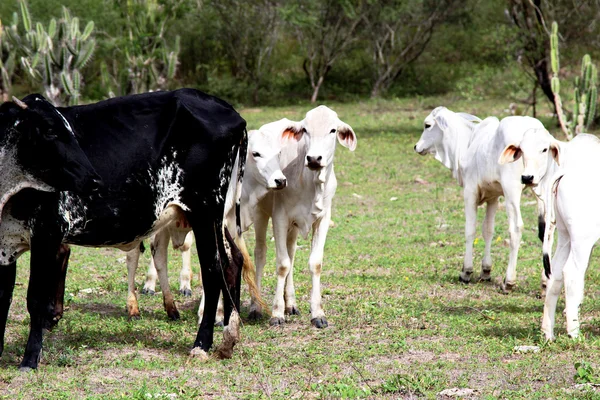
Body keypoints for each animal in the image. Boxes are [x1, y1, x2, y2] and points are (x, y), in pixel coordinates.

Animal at [0, 89, 251, 370]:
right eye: (49, 131)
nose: (93, 176)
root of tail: (231, 112)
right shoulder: (5, 243)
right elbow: (3, 297)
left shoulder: (46, 233)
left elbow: (35, 298)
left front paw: (29, 359)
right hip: (219, 216)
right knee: (233, 262)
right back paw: (229, 333)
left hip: (204, 211)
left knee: (213, 269)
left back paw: (202, 343)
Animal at [248, 108, 356, 326]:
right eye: (305, 129)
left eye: (333, 130)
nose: (314, 158)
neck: (309, 183)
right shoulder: (280, 217)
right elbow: (282, 265)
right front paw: (277, 313)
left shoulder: (323, 219)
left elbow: (314, 263)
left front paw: (318, 313)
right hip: (260, 213)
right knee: (260, 253)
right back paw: (256, 307)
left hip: (294, 227)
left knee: (291, 253)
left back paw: (290, 303)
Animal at [414, 107, 548, 290]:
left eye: (427, 125)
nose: (416, 146)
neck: (468, 143)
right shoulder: (493, 197)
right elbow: (488, 230)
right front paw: (485, 271)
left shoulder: (470, 192)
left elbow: (470, 230)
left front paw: (466, 271)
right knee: (547, 230)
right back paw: (545, 282)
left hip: (512, 191)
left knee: (516, 228)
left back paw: (509, 281)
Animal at [500, 129, 600, 340]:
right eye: (522, 150)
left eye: (544, 149)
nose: (527, 177)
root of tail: (564, 173)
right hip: (581, 239)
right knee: (571, 272)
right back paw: (574, 332)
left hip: (566, 237)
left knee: (556, 272)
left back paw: (548, 332)